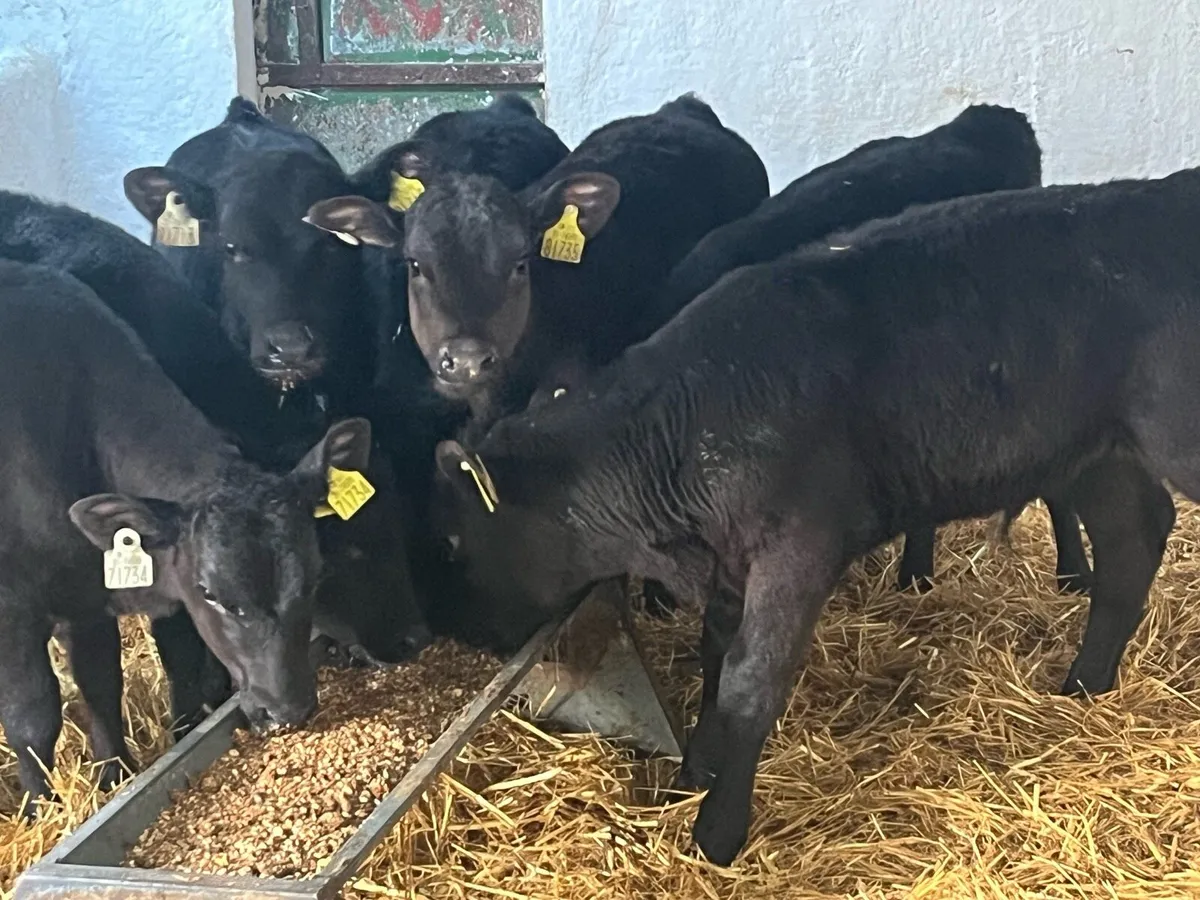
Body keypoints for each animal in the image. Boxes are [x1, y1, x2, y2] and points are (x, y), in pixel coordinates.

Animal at [0, 257, 372, 809]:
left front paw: (116, 778)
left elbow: (102, 687)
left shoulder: (86, 598)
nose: (288, 711)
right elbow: (32, 719)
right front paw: (36, 810)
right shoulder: (13, 609)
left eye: (314, 578)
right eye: (210, 594)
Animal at [428, 168, 1200, 864]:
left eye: (457, 540)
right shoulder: (729, 559)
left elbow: (749, 681)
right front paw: (693, 774)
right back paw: (1084, 686)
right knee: (1132, 543)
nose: (469, 636)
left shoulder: (798, 547)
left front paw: (716, 833)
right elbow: (715, 661)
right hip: (1097, 450)